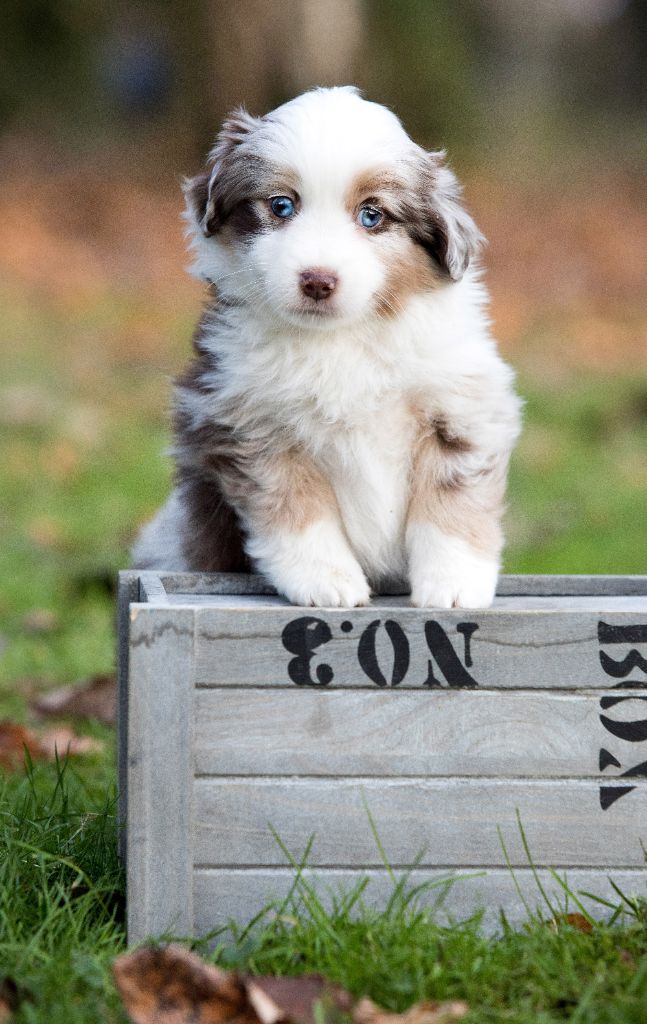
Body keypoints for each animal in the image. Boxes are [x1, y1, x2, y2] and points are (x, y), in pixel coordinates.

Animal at [133, 86, 522, 608]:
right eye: (281, 206)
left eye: (372, 215)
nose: (318, 280)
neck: (341, 338)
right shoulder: (250, 421)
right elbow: (297, 509)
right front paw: (327, 582)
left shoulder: (462, 408)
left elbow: (452, 500)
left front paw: (454, 586)